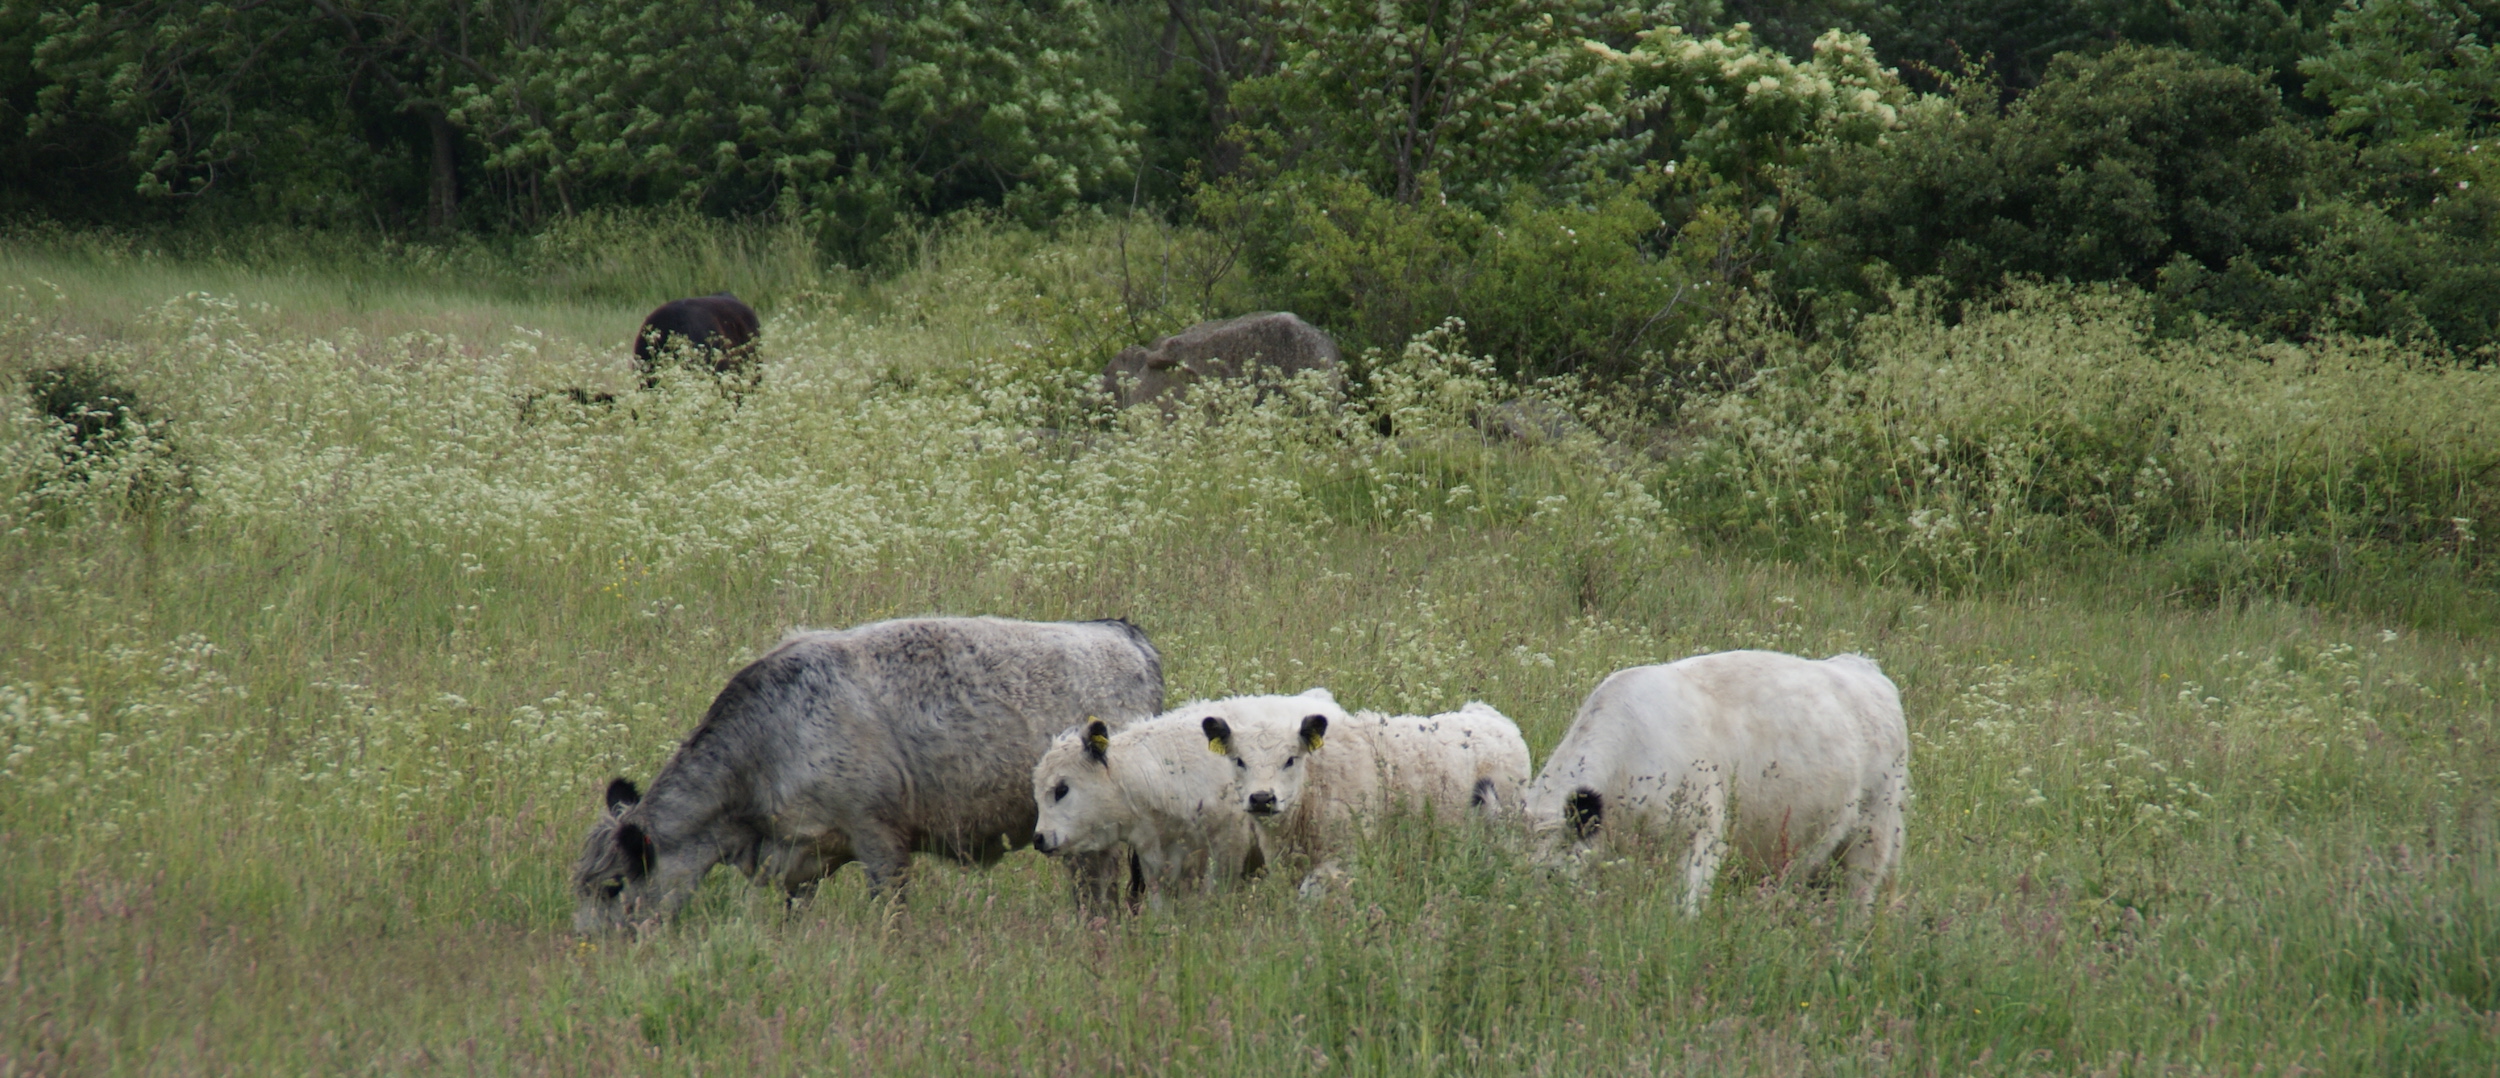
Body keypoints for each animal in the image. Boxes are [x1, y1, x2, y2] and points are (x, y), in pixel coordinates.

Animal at [580, 620, 1165, 930]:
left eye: (611, 886)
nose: (591, 950)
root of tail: (1124, 635)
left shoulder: (880, 840)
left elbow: (890, 911)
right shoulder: (801, 860)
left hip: (1093, 846)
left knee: (1099, 895)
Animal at [1520, 655, 1910, 915]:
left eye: (1553, 875)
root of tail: (1863, 667)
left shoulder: (1702, 835)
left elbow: (1684, 908)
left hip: (1872, 828)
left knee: (1857, 901)